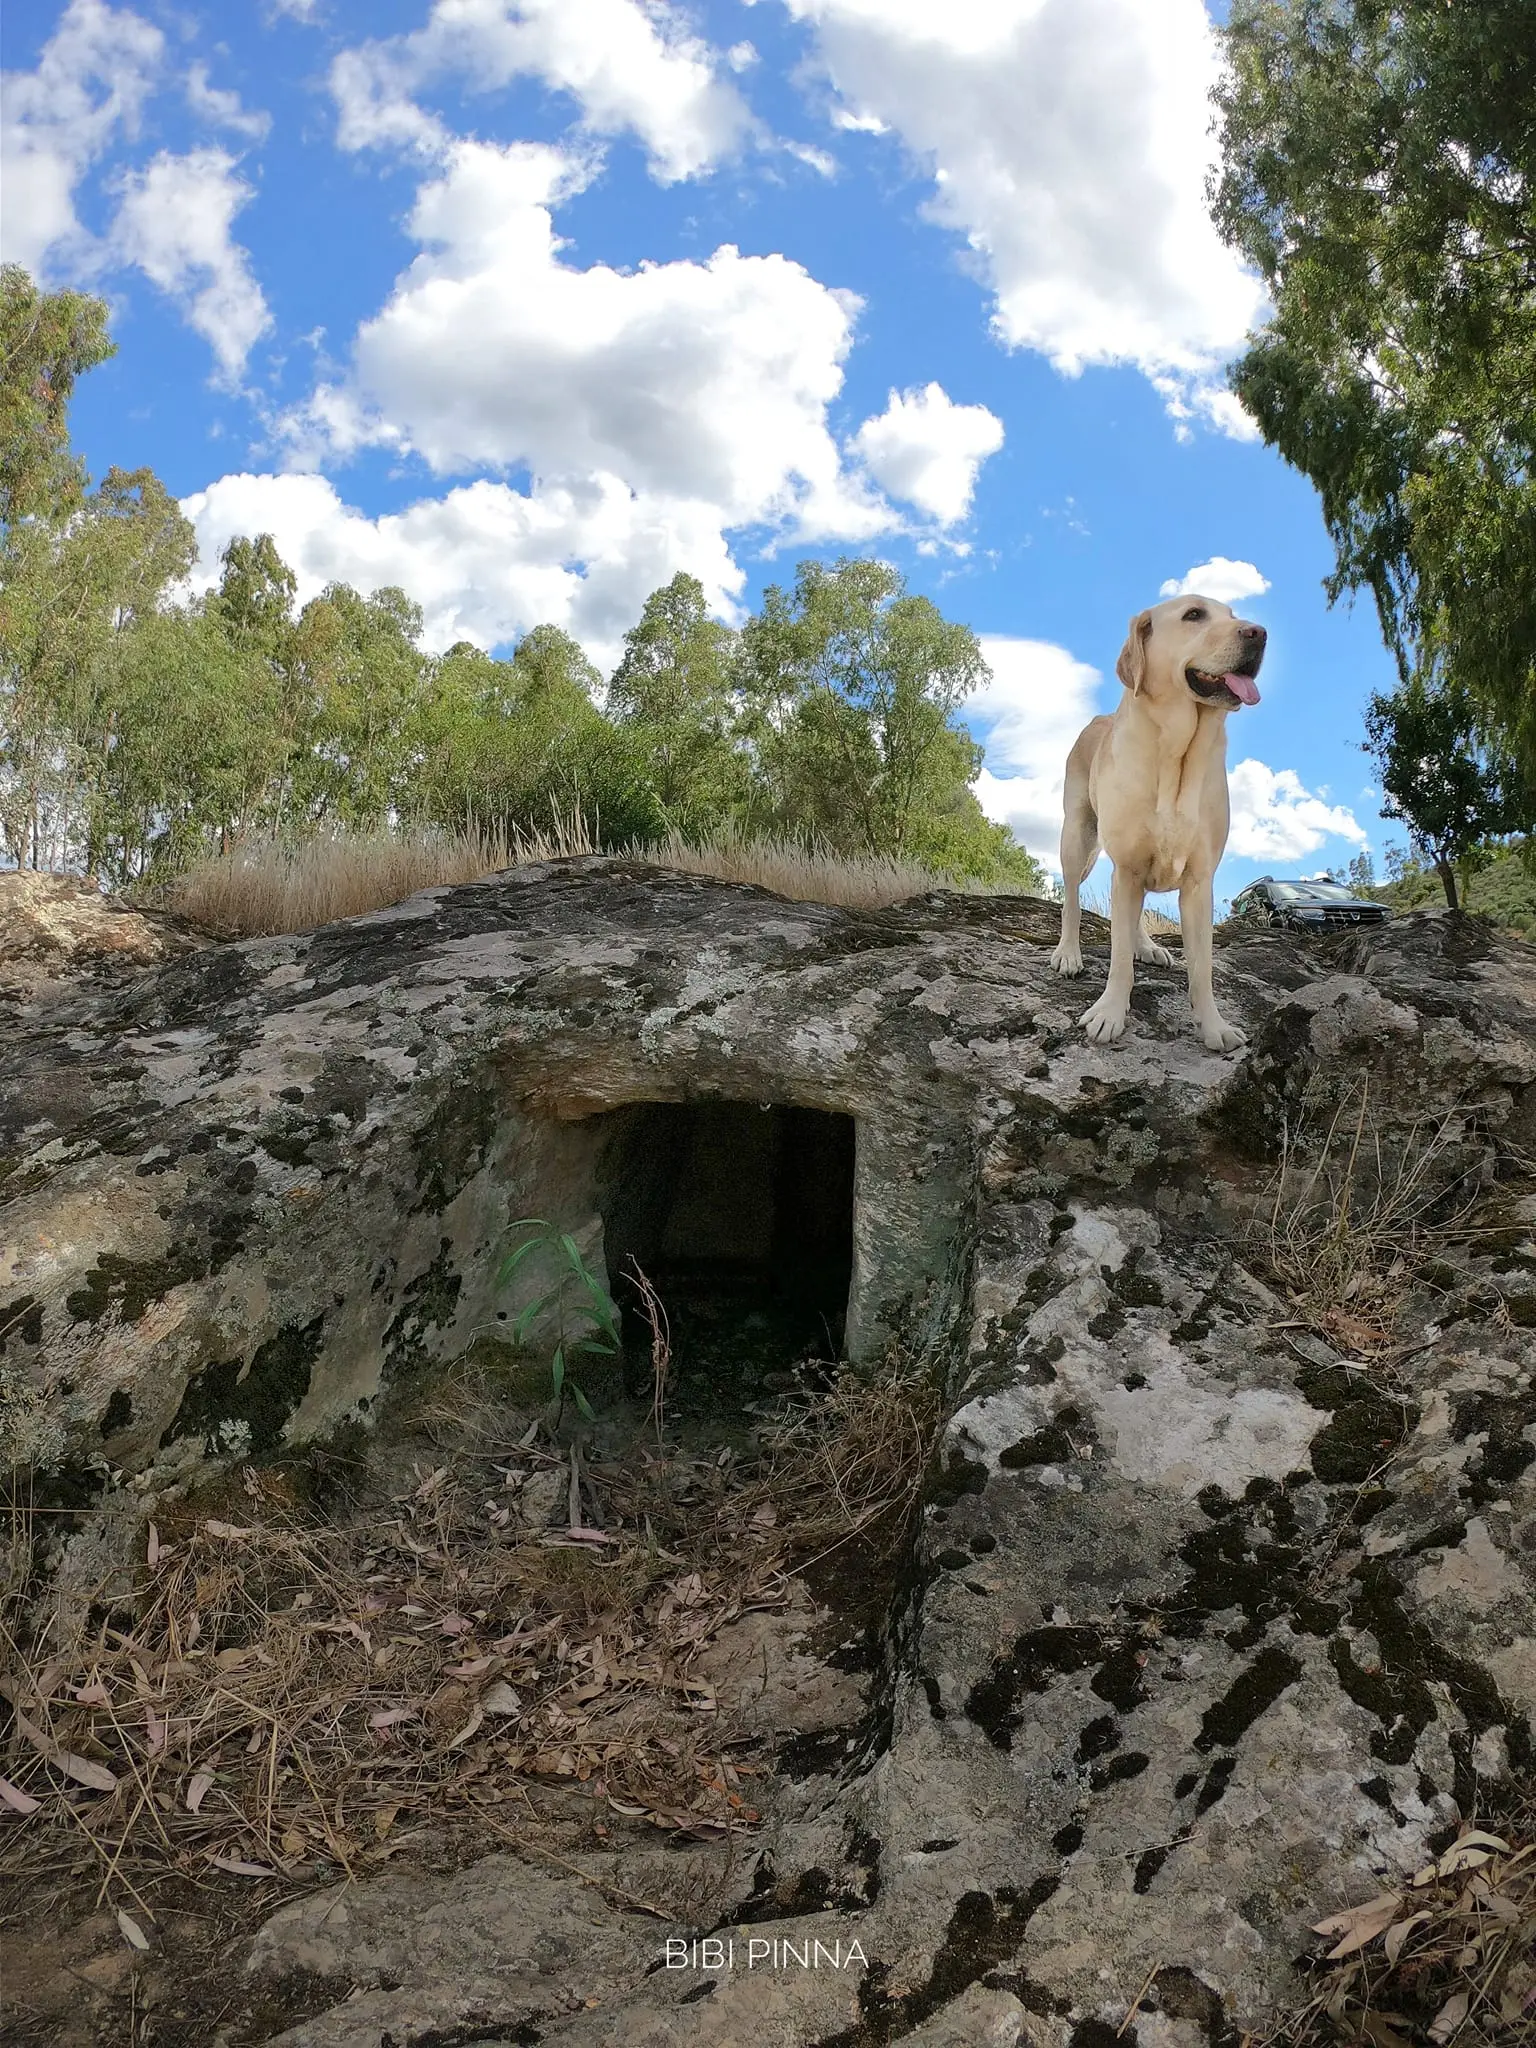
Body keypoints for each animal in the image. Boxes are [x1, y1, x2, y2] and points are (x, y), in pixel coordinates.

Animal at [1056, 589, 1269, 1040]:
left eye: (1232, 614)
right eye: (1194, 615)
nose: (1258, 633)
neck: (1178, 756)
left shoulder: (1198, 882)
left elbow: (1202, 968)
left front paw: (1214, 1027)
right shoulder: (1127, 865)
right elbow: (1118, 959)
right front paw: (1109, 1013)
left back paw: (1147, 946)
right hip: (1077, 835)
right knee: (1072, 899)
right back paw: (1067, 953)